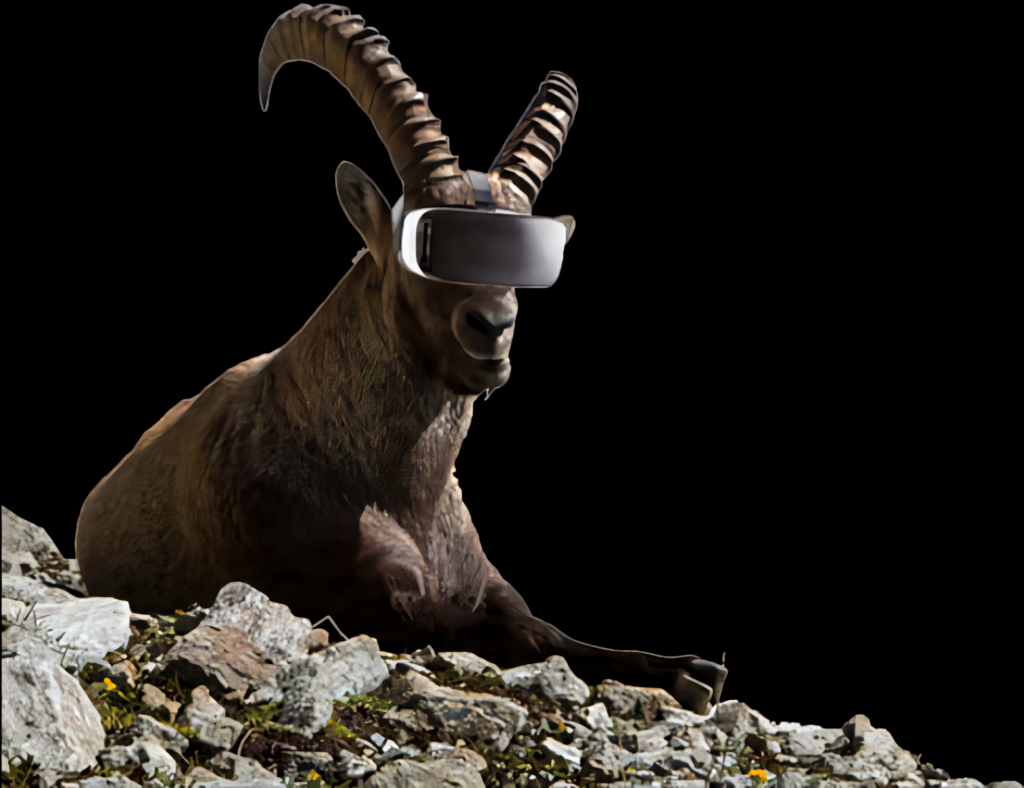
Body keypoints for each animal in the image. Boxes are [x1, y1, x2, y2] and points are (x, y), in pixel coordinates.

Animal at [75, 3, 727, 712]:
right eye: (426, 242)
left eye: (524, 254)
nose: (493, 330)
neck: (401, 492)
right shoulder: (349, 596)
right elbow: (510, 633)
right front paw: (684, 675)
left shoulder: (484, 579)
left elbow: (540, 623)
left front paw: (690, 665)